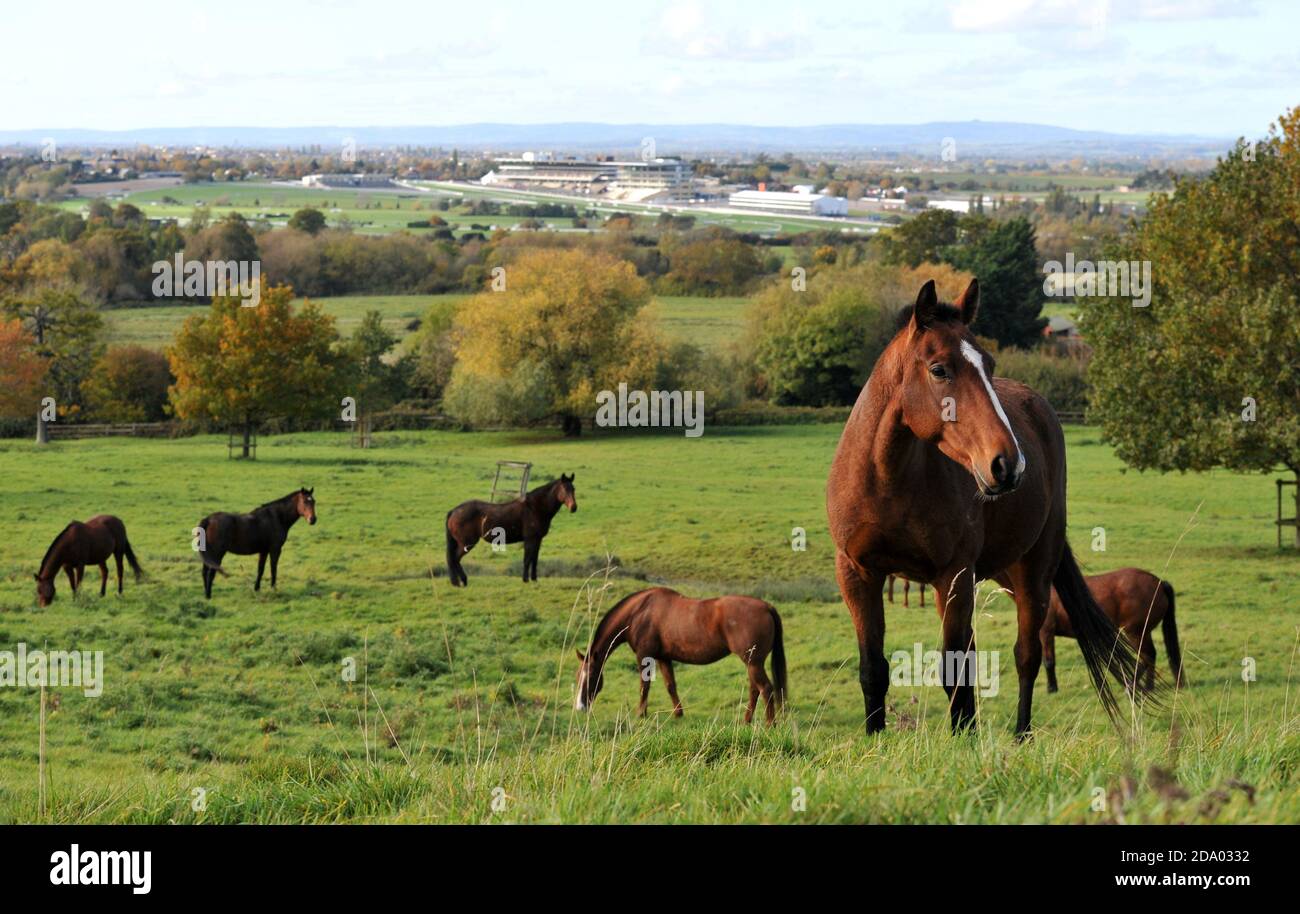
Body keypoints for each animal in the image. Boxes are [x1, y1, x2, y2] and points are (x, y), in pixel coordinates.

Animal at [445, 474, 577, 586]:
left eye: (573, 489)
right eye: (564, 489)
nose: (574, 507)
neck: (534, 508)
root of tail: (454, 511)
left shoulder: (538, 539)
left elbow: (534, 560)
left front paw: (534, 579)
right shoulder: (530, 539)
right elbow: (527, 559)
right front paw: (525, 580)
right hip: (466, 543)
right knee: (455, 559)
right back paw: (461, 581)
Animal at [574, 587, 787, 725]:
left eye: (591, 676)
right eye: (578, 677)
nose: (580, 707)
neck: (639, 612)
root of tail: (766, 606)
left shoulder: (645, 656)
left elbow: (644, 686)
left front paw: (641, 713)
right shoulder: (663, 657)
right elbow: (670, 685)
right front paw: (678, 713)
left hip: (753, 663)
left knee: (766, 689)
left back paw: (770, 724)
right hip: (752, 662)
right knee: (755, 690)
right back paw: (747, 720)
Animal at [826, 279, 1143, 738]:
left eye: (988, 365)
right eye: (939, 369)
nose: (1008, 464)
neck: (887, 480)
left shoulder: (952, 575)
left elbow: (954, 669)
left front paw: (962, 739)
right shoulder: (857, 573)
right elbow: (874, 669)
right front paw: (876, 737)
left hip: (1032, 573)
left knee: (1027, 654)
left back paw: (1022, 734)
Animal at [1042, 568, 1183, 693]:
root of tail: (1159, 583)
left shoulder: (1046, 632)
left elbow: (1049, 661)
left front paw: (1051, 688)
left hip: (1135, 632)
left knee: (1147, 655)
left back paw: (1132, 686)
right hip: (1144, 632)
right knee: (1150, 656)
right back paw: (1149, 686)